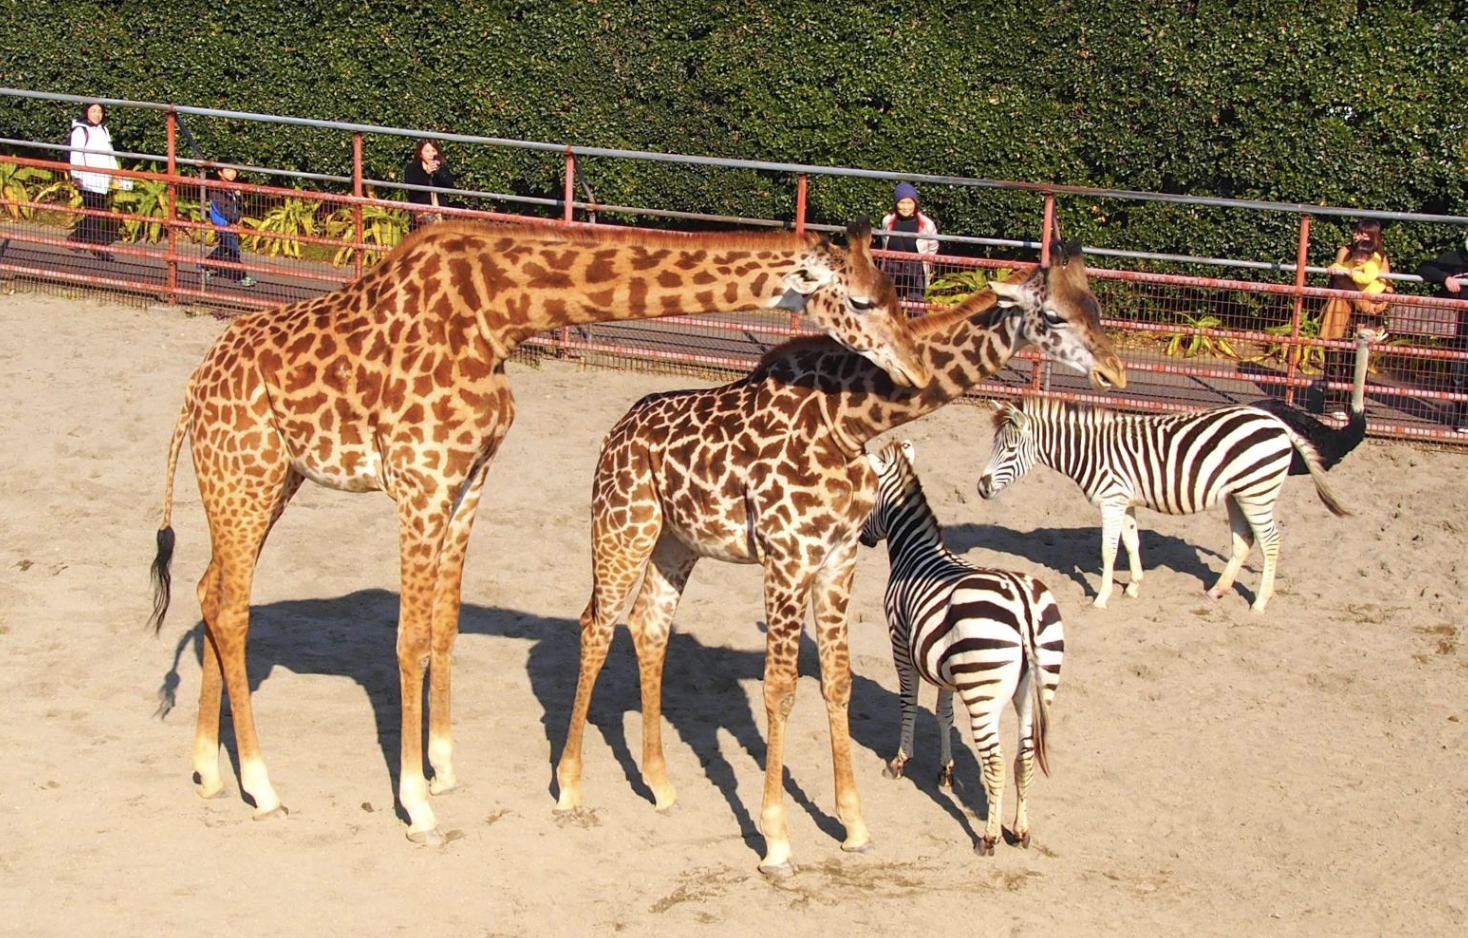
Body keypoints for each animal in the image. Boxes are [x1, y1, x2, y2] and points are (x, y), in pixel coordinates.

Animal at [149, 218, 927, 845]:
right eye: (861, 300)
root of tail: (190, 391)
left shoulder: (469, 479)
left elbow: (443, 622)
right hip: (246, 474)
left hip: (264, 480)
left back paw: (208, 770)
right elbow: (407, 636)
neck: (499, 313)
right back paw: (261, 785)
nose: (916, 370)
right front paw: (417, 804)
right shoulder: (420, 480)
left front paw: (441, 767)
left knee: (210, 591)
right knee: (230, 604)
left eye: (895, 289)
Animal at [857, 440, 1062, 857]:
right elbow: (944, 714)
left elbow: (908, 703)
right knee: (1025, 758)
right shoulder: (945, 666)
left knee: (996, 762)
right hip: (1036, 688)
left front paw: (899, 762)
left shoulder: (900, 643)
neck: (915, 553)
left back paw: (989, 838)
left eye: (867, 498)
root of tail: (1023, 603)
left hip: (984, 692)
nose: (859, 539)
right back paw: (1020, 832)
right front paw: (945, 771)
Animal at [974, 399, 1362, 613]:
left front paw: (1102, 598)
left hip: (1257, 492)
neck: (1091, 453)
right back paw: (1218, 590)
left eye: (1009, 450)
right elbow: (1132, 543)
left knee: (1270, 543)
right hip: (1238, 494)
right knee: (1243, 541)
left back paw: (1260, 602)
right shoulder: (1125, 501)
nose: (981, 487)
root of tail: (1278, 423)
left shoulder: (1111, 500)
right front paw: (1133, 586)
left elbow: (1108, 550)